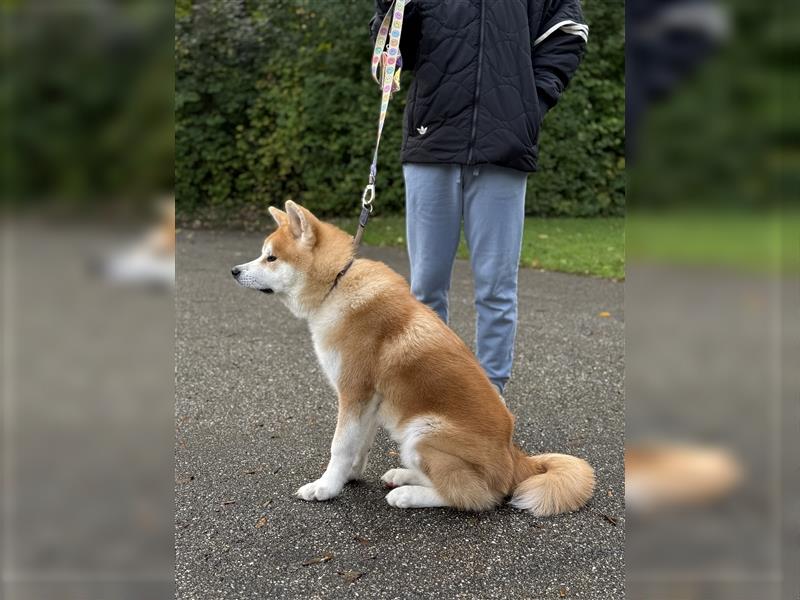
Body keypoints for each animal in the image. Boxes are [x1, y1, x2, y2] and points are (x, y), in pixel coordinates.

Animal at [231, 202, 592, 516]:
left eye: (270, 258)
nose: (234, 270)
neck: (337, 284)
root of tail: (516, 459)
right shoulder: (369, 402)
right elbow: (359, 443)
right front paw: (350, 476)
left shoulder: (354, 393)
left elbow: (340, 446)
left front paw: (326, 487)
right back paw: (403, 475)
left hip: (422, 432)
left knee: (470, 495)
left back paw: (408, 494)